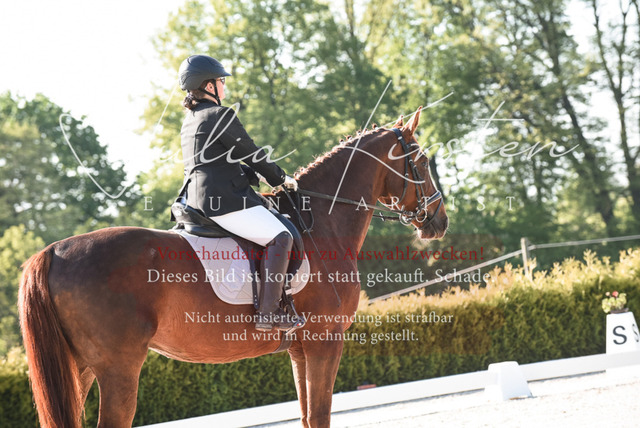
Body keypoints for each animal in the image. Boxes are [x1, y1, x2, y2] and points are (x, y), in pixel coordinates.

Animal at [19, 108, 448, 428]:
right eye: (423, 160)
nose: (439, 222)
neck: (321, 222)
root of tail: (54, 251)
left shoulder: (301, 349)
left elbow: (307, 416)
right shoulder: (324, 341)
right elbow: (320, 417)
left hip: (81, 367)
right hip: (117, 369)